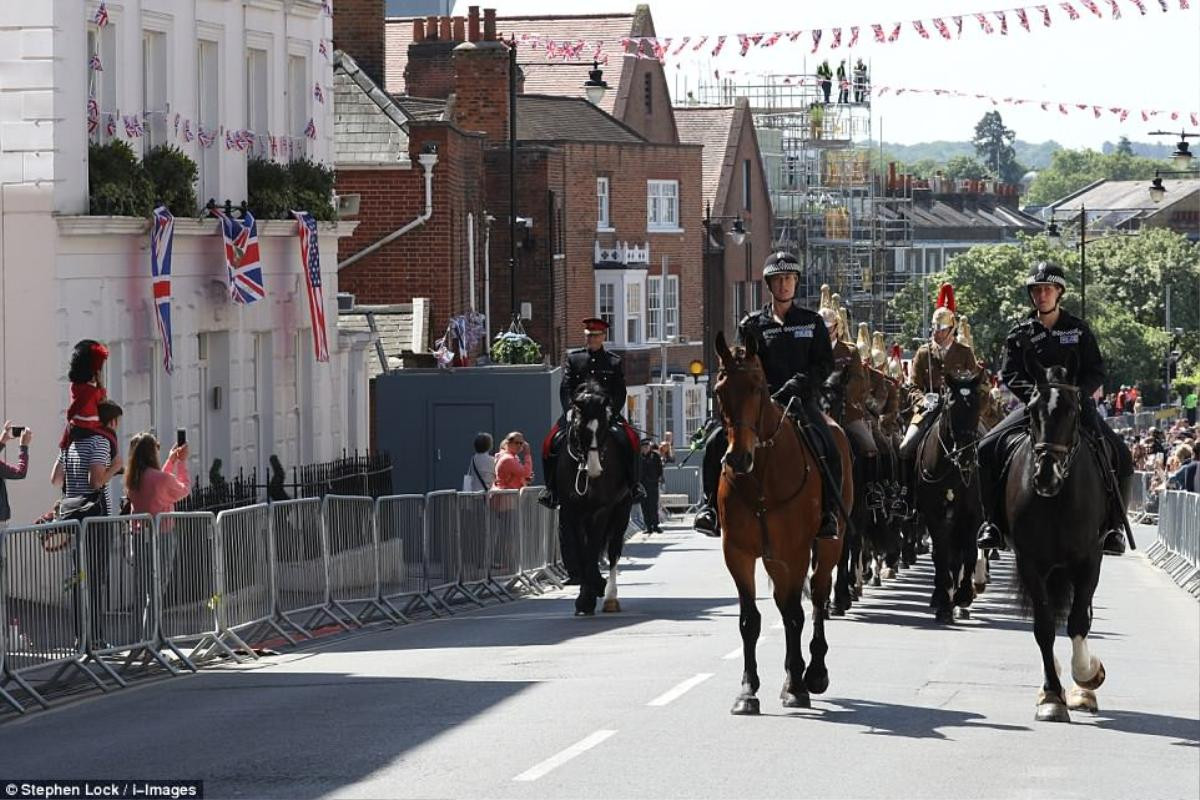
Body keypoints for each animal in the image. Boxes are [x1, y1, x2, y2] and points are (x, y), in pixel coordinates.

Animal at [556, 379, 638, 618]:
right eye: (579, 427)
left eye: (603, 429)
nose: (594, 470)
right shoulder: (571, 510)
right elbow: (582, 552)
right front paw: (585, 597)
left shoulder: (602, 510)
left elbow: (593, 549)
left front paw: (596, 588)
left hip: (622, 510)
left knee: (613, 551)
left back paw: (610, 597)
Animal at [710, 328, 854, 714]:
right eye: (719, 390)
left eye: (758, 388)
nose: (738, 458)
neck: (762, 476)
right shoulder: (738, 553)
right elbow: (750, 620)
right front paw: (747, 691)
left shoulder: (797, 551)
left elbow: (795, 615)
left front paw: (797, 687)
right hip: (774, 559)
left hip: (828, 545)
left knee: (817, 596)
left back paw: (814, 672)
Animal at [912, 371, 979, 623]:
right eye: (951, 404)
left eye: (978, 403)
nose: (966, 456)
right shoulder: (934, 514)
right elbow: (941, 552)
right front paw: (943, 600)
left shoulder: (972, 515)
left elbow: (969, 553)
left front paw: (964, 595)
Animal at [1003, 367, 1104, 724]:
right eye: (1033, 410)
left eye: (1073, 411)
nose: (1046, 476)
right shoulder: (1030, 562)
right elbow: (1045, 627)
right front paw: (1051, 695)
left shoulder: (1089, 560)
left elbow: (1078, 621)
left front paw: (1087, 676)